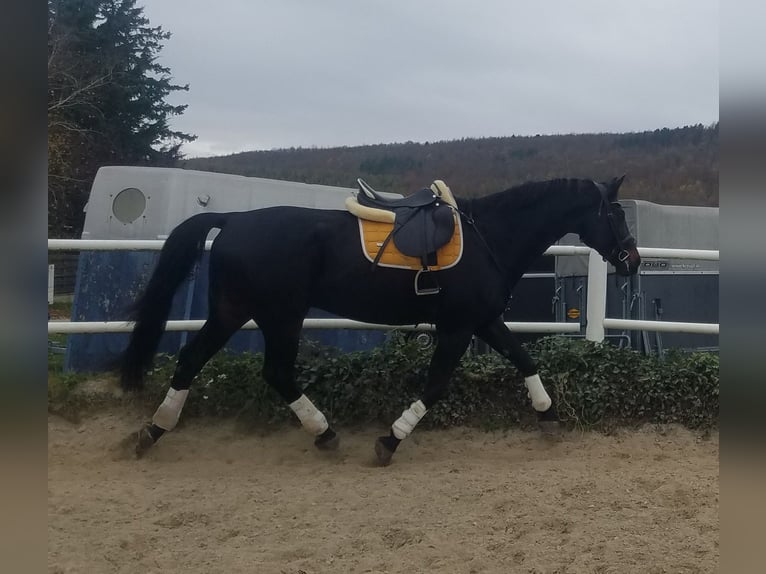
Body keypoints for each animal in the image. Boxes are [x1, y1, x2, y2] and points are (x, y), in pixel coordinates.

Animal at [121, 174, 640, 464]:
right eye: (616, 213)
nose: (632, 260)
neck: (489, 235)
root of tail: (233, 220)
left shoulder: (483, 320)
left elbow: (525, 360)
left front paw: (548, 417)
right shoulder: (457, 327)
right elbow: (436, 385)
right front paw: (390, 440)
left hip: (236, 312)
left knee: (194, 360)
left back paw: (153, 430)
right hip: (279, 314)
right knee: (274, 371)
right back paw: (323, 432)